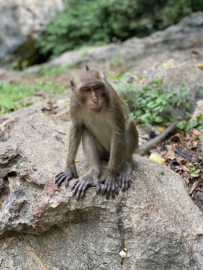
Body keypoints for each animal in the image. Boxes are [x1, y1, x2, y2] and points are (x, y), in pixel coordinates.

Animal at [55, 65, 140, 200]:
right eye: (86, 90)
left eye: (97, 87)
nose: (95, 100)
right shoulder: (74, 101)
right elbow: (77, 127)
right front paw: (69, 168)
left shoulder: (112, 100)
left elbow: (118, 131)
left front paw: (110, 176)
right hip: (102, 151)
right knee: (86, 130)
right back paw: (93, 172)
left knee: (128, 124)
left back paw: (125, 165)